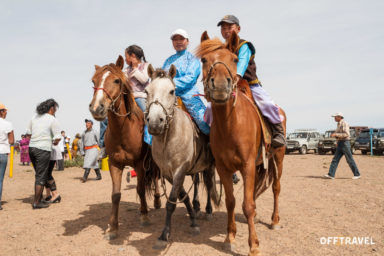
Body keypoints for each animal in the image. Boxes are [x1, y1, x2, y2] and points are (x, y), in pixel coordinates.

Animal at [88, 55, 160, 240]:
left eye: (117, 80)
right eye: (93, 81)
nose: (96, 108)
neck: (124, 130)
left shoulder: (140, 164)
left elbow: (141, 190)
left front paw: (144, 216)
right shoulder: (115, 163)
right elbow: (115, 195)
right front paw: (113, 228)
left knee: (157, 178)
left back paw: (157, 201)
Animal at [196, 31, 286, 255]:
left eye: (235, 59)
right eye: (204, 60)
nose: (220, 85)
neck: (230, 125)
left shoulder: (247, 166)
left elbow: (247, 205)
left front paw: (253, 245)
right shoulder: (224, 168)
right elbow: (231, 202)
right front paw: (229, 237)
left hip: (278, 158)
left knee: (276, 187)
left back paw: (274, 220)